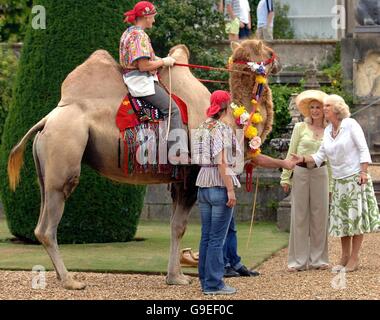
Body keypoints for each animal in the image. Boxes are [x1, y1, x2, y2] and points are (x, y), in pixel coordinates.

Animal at [5, 38, 280, 288]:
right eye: (268, 51)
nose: (278, 63)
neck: (232, 120)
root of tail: (47, 120)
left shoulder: (177, 180)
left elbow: (174, 227)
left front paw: (175, 277)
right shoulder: (191, 175)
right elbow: (181, 226)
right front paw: (179, 277)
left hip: (45, 168)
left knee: (42, 214)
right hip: (64, 152)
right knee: (49, 222)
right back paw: (70, 281)